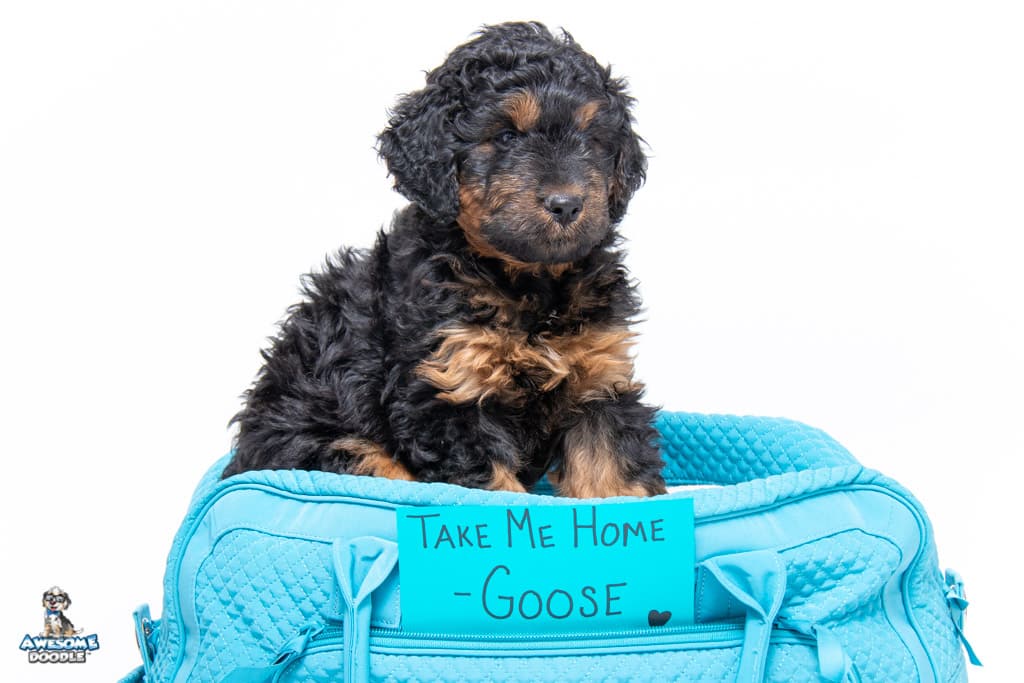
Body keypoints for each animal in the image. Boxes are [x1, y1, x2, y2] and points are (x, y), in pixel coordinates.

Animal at [223, 17, 663, 497]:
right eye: (505, 136)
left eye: (592, 140)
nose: (566, 204)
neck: (529, 286)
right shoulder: (448, 389)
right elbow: (493, 488)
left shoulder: (599, 382)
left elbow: (611, 469)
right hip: (333, 447)